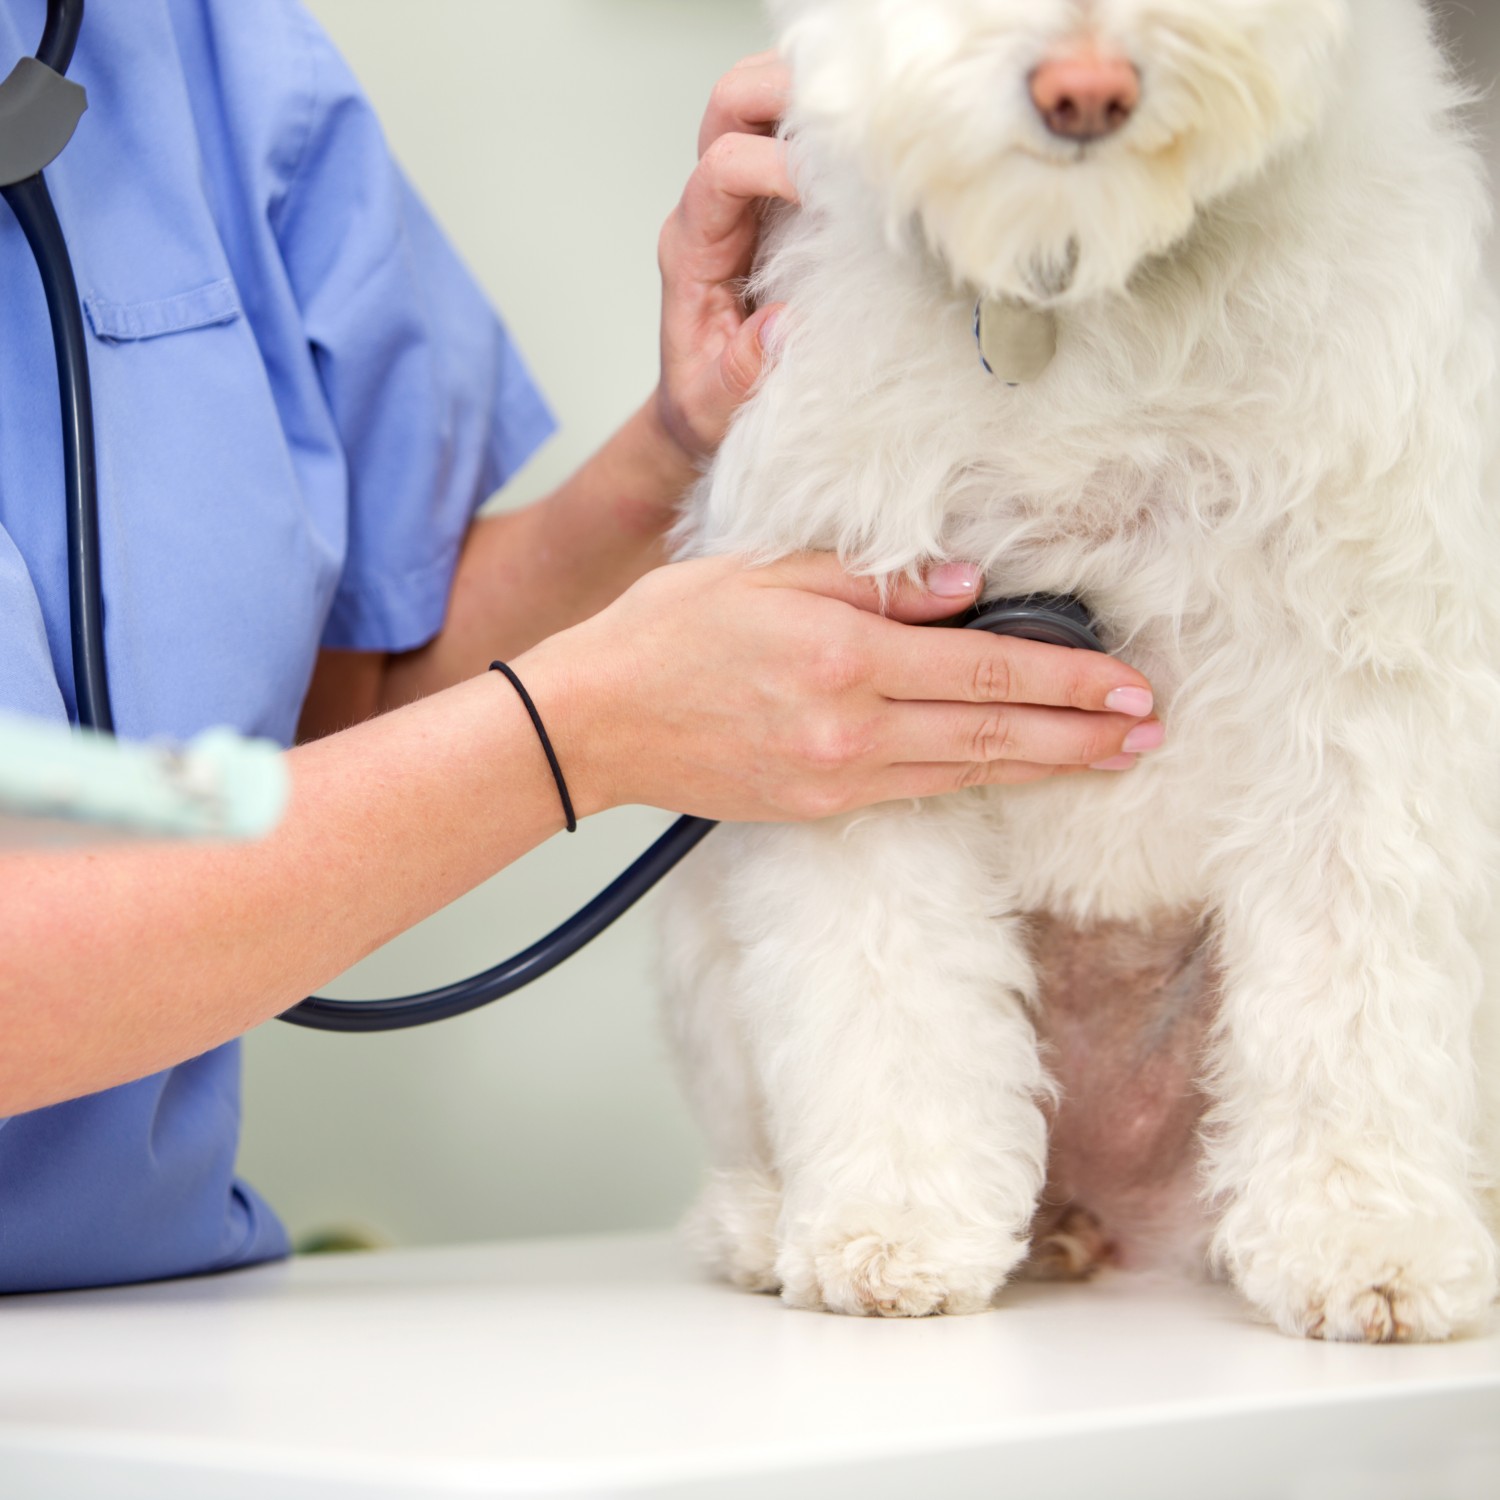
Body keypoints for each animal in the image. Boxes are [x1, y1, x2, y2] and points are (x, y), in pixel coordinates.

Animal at [666, 0, 1500, 1344]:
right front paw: (894, 1225)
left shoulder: (1363, 680)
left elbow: (1352, 997)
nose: (1085, 91)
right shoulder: (859, 686)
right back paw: (769, 1219)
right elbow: (887, 992)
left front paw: (1366, 1238)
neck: (1085, 277)